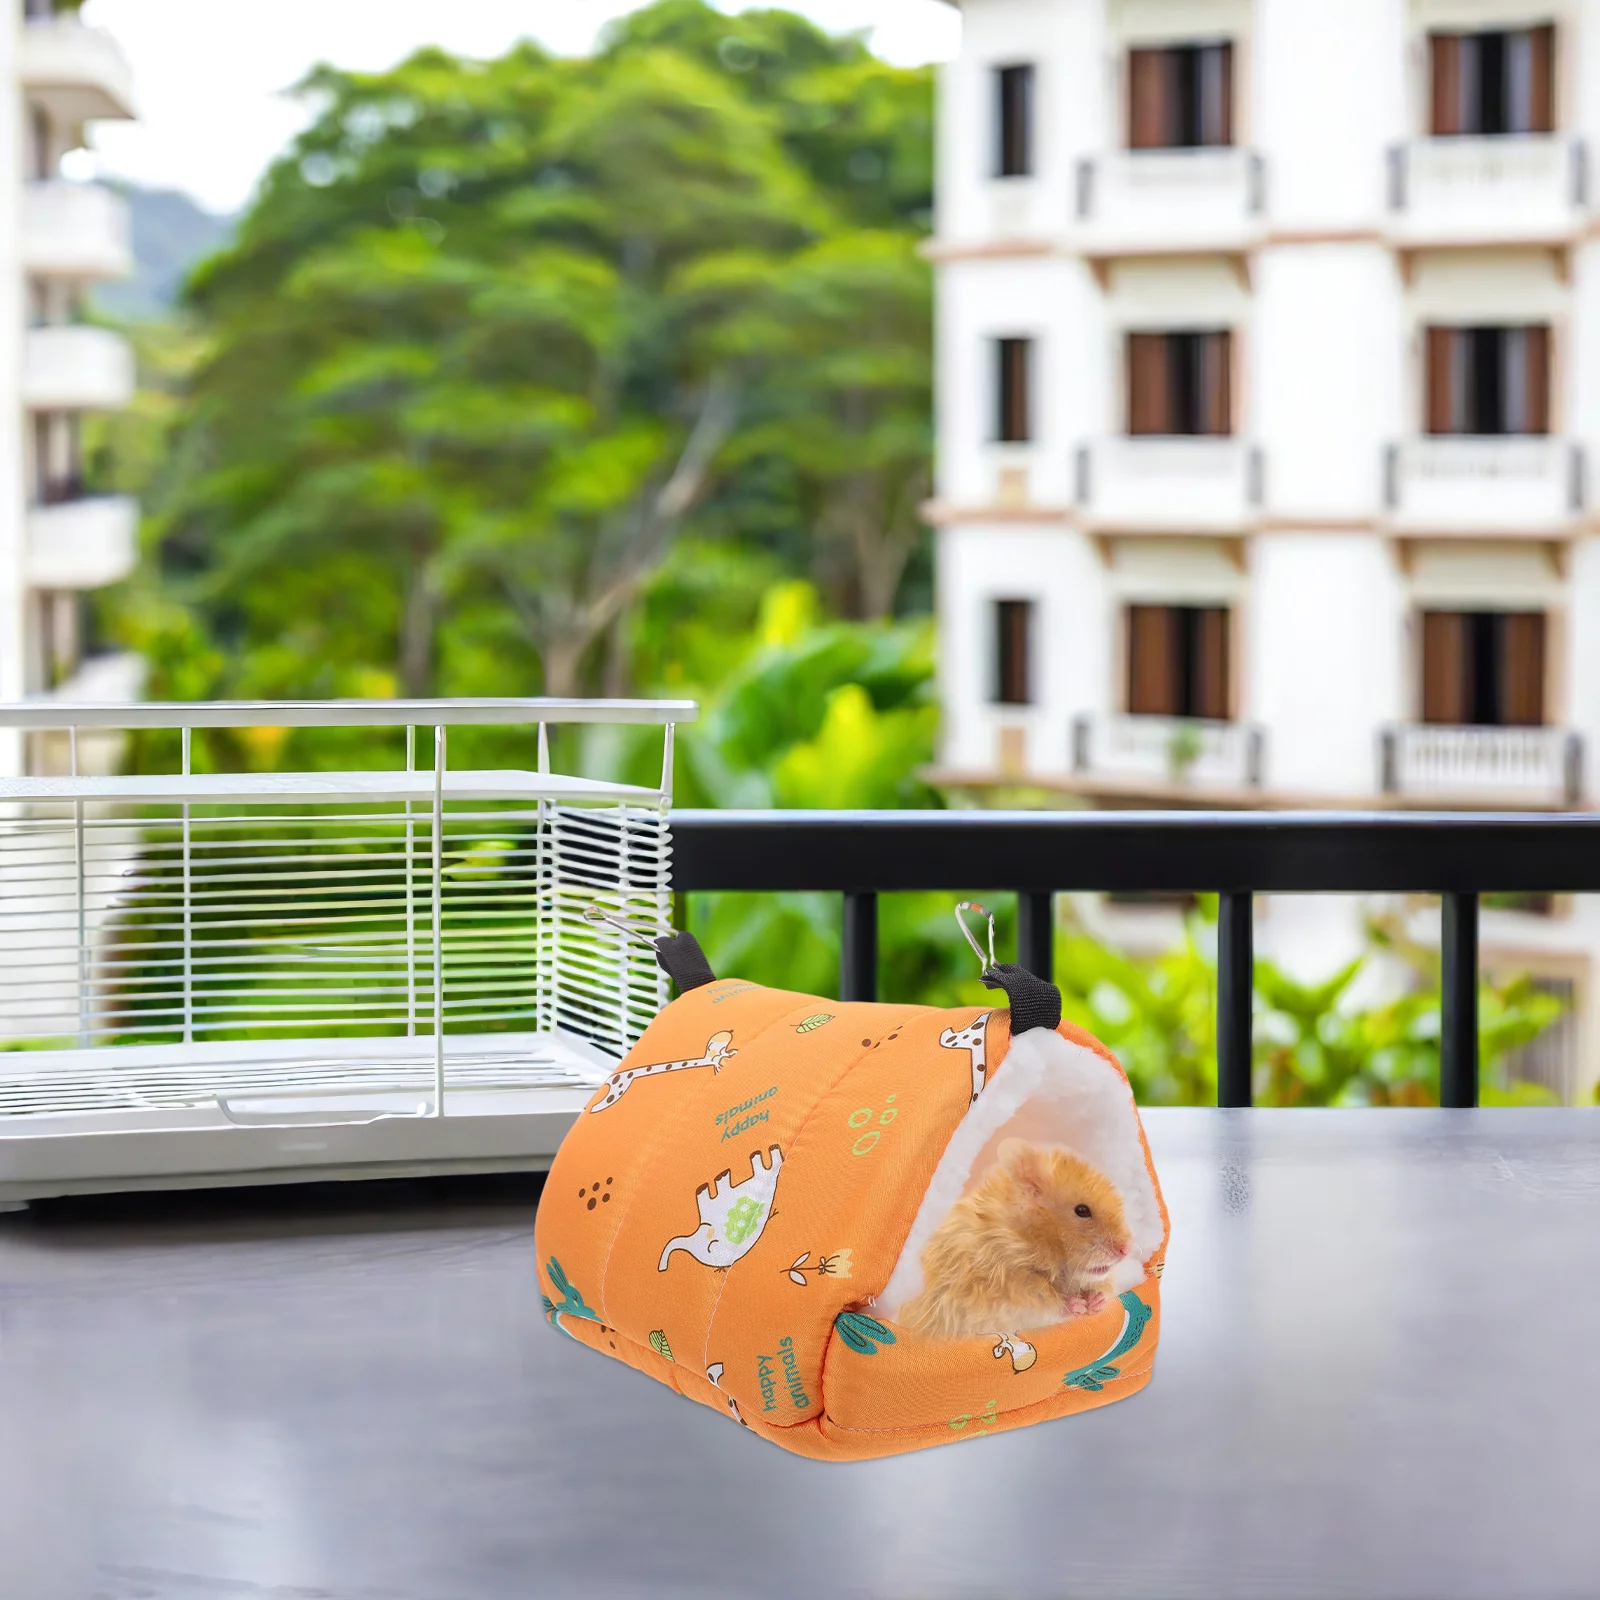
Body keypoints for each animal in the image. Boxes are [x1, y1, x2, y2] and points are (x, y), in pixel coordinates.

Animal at [898, 1140, 1134, 1340]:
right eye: (1082, 1210)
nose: (1126, 1250)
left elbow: (1103, 1285)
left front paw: (1095, 1301)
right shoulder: (1007, 1289)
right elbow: (1042, 1300)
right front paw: (1077, 1305)